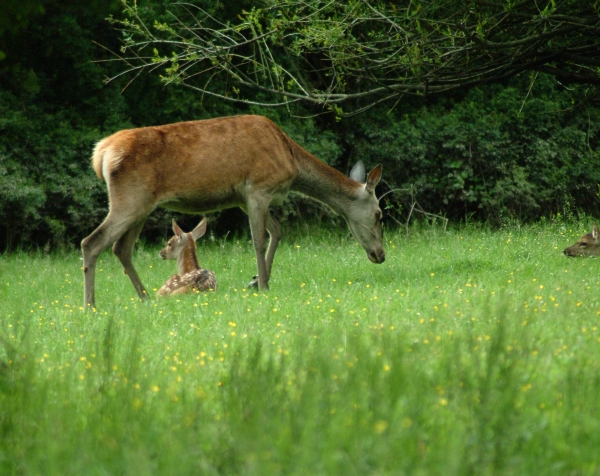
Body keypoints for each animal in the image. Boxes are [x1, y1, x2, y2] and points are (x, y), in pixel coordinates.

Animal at [81, 115, 384, 308]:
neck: (291, 160)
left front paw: (256, 280)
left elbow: (277, 231)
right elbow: (259, 239)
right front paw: (263, 285)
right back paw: (90, 304)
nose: (380, 255)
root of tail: (101, 154)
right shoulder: (258, 188)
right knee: (91, 242)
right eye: (379, 214)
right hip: (131, 198)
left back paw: (144, 297)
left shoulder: (241, 198)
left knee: (121, 248)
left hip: (141, 205)